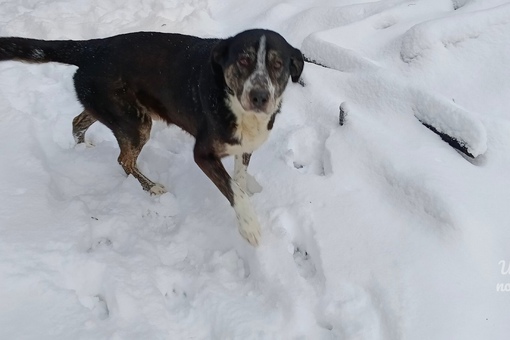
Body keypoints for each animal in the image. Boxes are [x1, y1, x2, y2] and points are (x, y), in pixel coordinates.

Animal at [0, 29, 302, 246]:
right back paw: (151, 186)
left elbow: (239, 176)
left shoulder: (245, 144)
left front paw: (246, 187)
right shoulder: (203, 154)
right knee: (123, 159)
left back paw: (83, 149)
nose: (260, 96)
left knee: (78, 121)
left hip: (108, 107)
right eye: (243, 60)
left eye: (278, 64)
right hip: (136, 124)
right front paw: (249, 225)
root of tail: (91, 49)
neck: (233, 101)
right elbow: (233, 190)